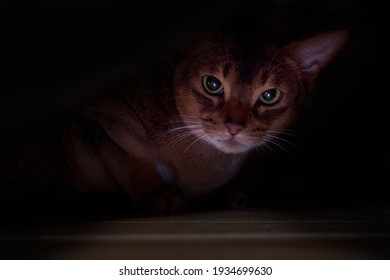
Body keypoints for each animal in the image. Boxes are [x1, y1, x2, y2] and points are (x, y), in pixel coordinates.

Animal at [0, 24, 348, 212]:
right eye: (212, 84)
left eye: (270, 95)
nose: (234, 126)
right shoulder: (97, 116)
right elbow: (129, 156)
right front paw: (157, 194)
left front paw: (222, 195)